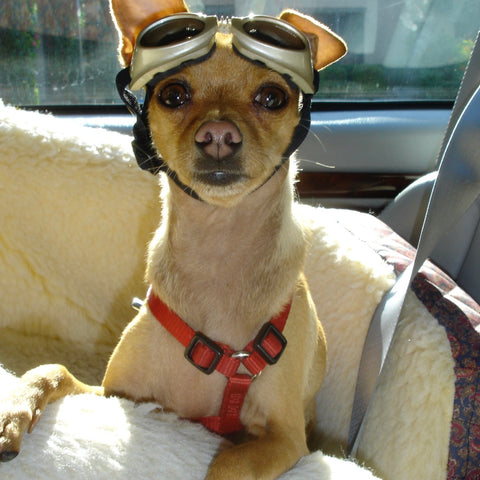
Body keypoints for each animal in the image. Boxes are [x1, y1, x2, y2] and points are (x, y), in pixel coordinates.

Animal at [0, 1, 344, 478]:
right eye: (174, 94)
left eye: (272, 97)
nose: (218, 135)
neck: (218, 256)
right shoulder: (115, 397)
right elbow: (53, 370)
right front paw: (14, 410)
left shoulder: (284, 438)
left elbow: (229, 465)